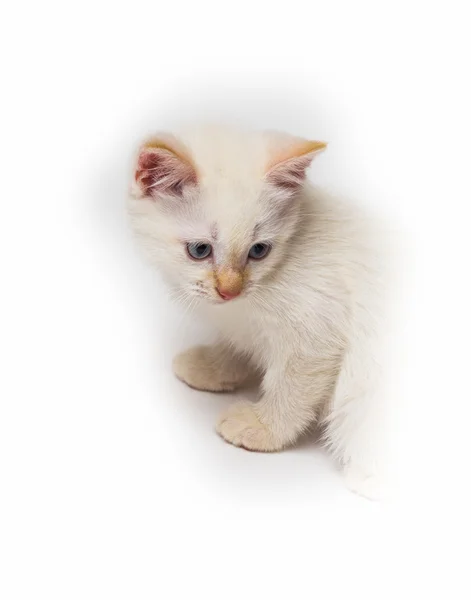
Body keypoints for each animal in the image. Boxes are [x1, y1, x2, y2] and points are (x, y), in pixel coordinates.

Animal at [127, 124, 392, 500]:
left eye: (259, 251)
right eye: (200, 250)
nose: (230, 290)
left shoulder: (317, 331)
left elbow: (292, 389)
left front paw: (262, 428)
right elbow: (238, 343)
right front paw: (211, 366)